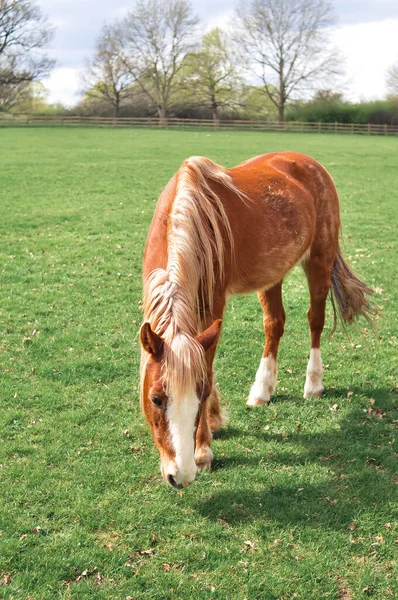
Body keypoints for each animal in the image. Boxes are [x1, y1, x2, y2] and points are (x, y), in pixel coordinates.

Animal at [138, 152, 374, 490]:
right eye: (156, 398)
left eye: (200, 394)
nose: (180, 476)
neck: (187, 216)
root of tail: (308, 162)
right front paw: (214, 423)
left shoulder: (213, 304)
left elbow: (208, 364)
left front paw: (203, 449)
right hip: (272, 273)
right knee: (274, 324)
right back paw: (262, 390)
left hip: (319, 259)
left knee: (315, 320)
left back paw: (313, 384)